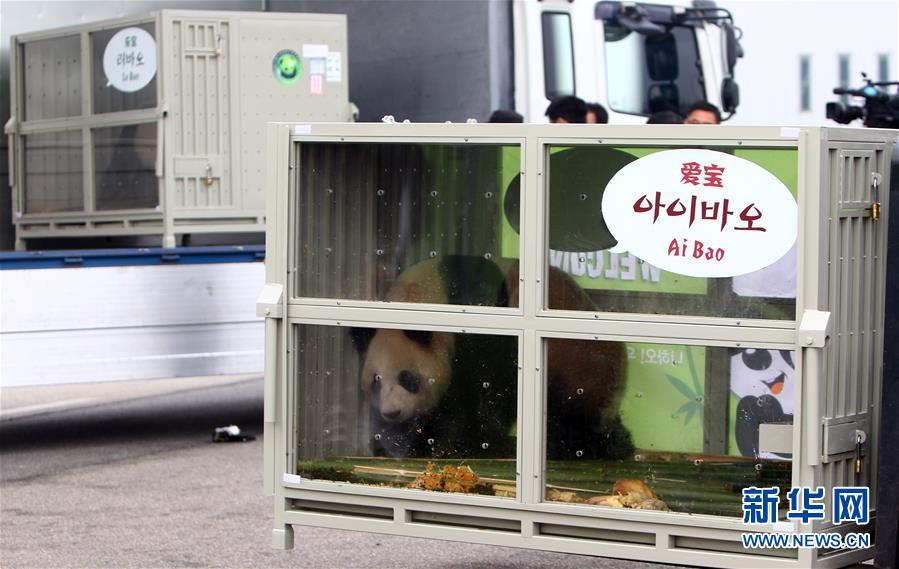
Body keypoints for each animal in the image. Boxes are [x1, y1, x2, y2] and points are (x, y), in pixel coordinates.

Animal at [350, 255, 632, 460]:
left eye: (407, 378)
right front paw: (400, 442)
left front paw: (452, 445)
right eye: (375, 381)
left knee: (569, 411)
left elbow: (476, 398)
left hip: (575, 363)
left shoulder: (480, 341)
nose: (392, 412)